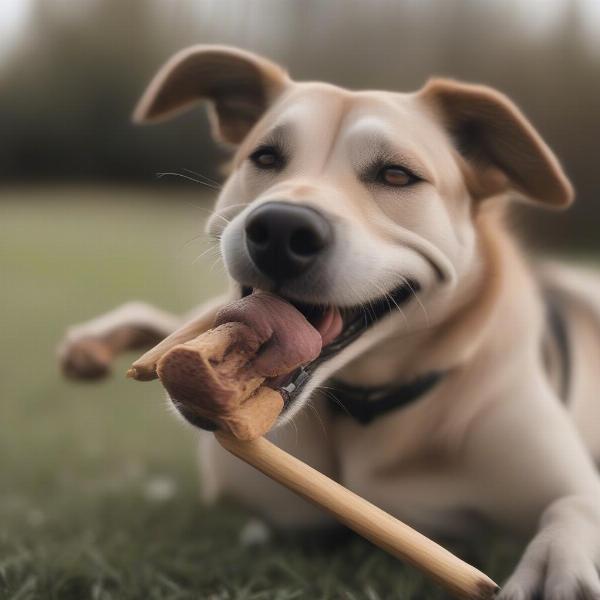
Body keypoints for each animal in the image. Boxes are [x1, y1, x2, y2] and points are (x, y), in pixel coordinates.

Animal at [57, 47, 600, 600]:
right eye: (265, 157)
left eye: (397, 175)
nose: (281, 228)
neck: (367, 409)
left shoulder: (562, 476)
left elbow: (572, 508)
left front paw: (555, 565)